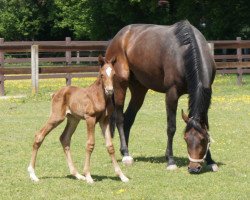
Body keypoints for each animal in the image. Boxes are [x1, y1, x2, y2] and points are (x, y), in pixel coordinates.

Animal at [27, 55, 129, 184]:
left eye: (114, 74)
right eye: (102, 75)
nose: (110, 91)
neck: (99, 96)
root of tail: (55, 93)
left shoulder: (104, 120)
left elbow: (110, 146)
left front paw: (122, 176)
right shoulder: (90, 118)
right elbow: (90, 144)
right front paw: (88, 176)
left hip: (73, 119)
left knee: (64, 138)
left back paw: (77, 175)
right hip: (56, 117)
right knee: (39, 135)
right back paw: (33, 174)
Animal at [105, 20, 219, 173]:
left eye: (203, 140)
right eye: (185, 138)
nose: (193, 168)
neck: (184, 53)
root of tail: (118, 37)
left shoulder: (207, 93)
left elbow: (205, 125)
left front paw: (211, 161)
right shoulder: (171, 94)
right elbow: (171, 127)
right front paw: (170, 160)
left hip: (139, 90)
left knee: (128, 119)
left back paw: (125, 152)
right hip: (120, 85)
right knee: (120, 119)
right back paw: (126, 155)